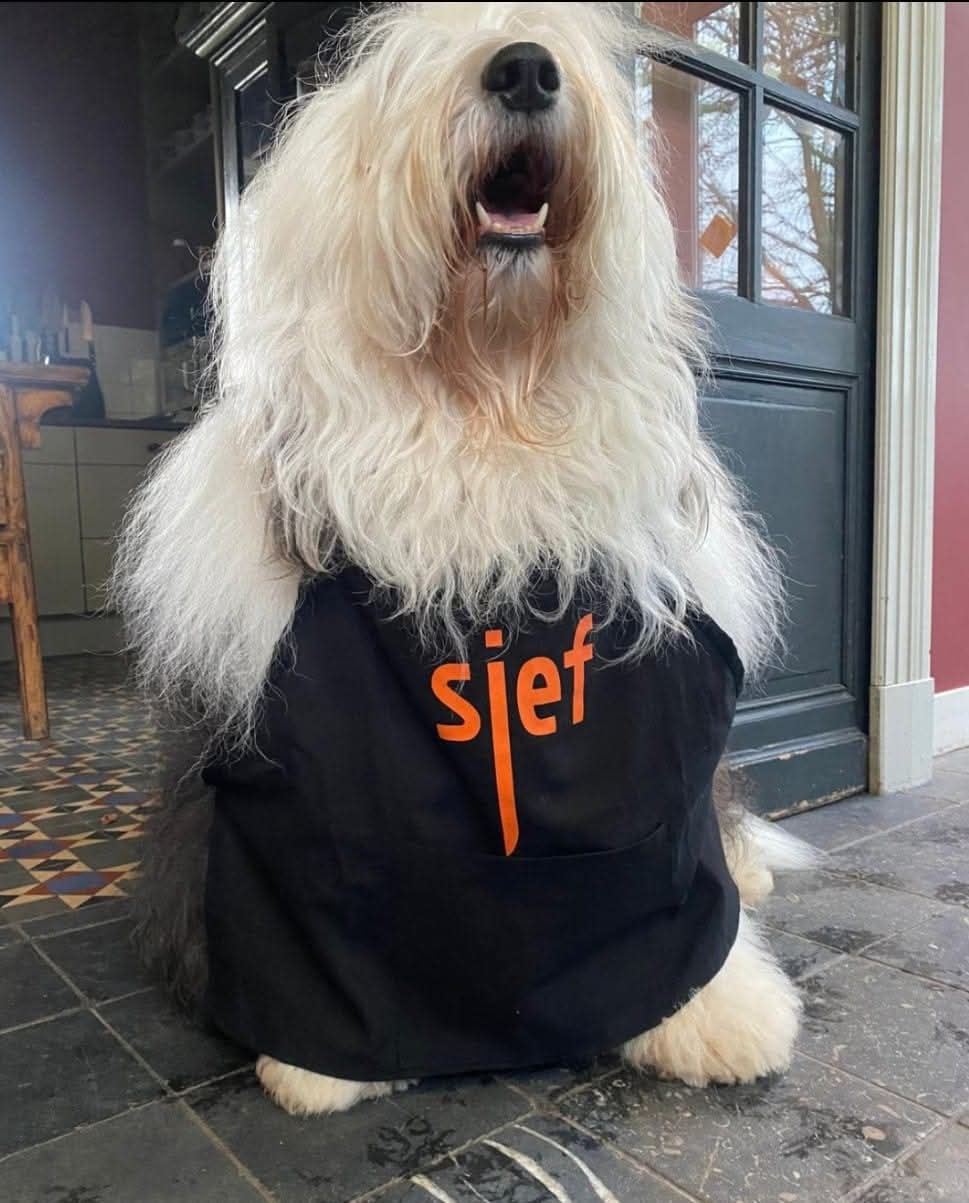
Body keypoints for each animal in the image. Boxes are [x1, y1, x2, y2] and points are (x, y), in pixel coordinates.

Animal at [113, 1, 815, 1117]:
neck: (488, 402)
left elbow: (677, 865)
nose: (524, 68)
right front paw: (320, 1061)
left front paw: (718, 1010)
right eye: (403, 64)